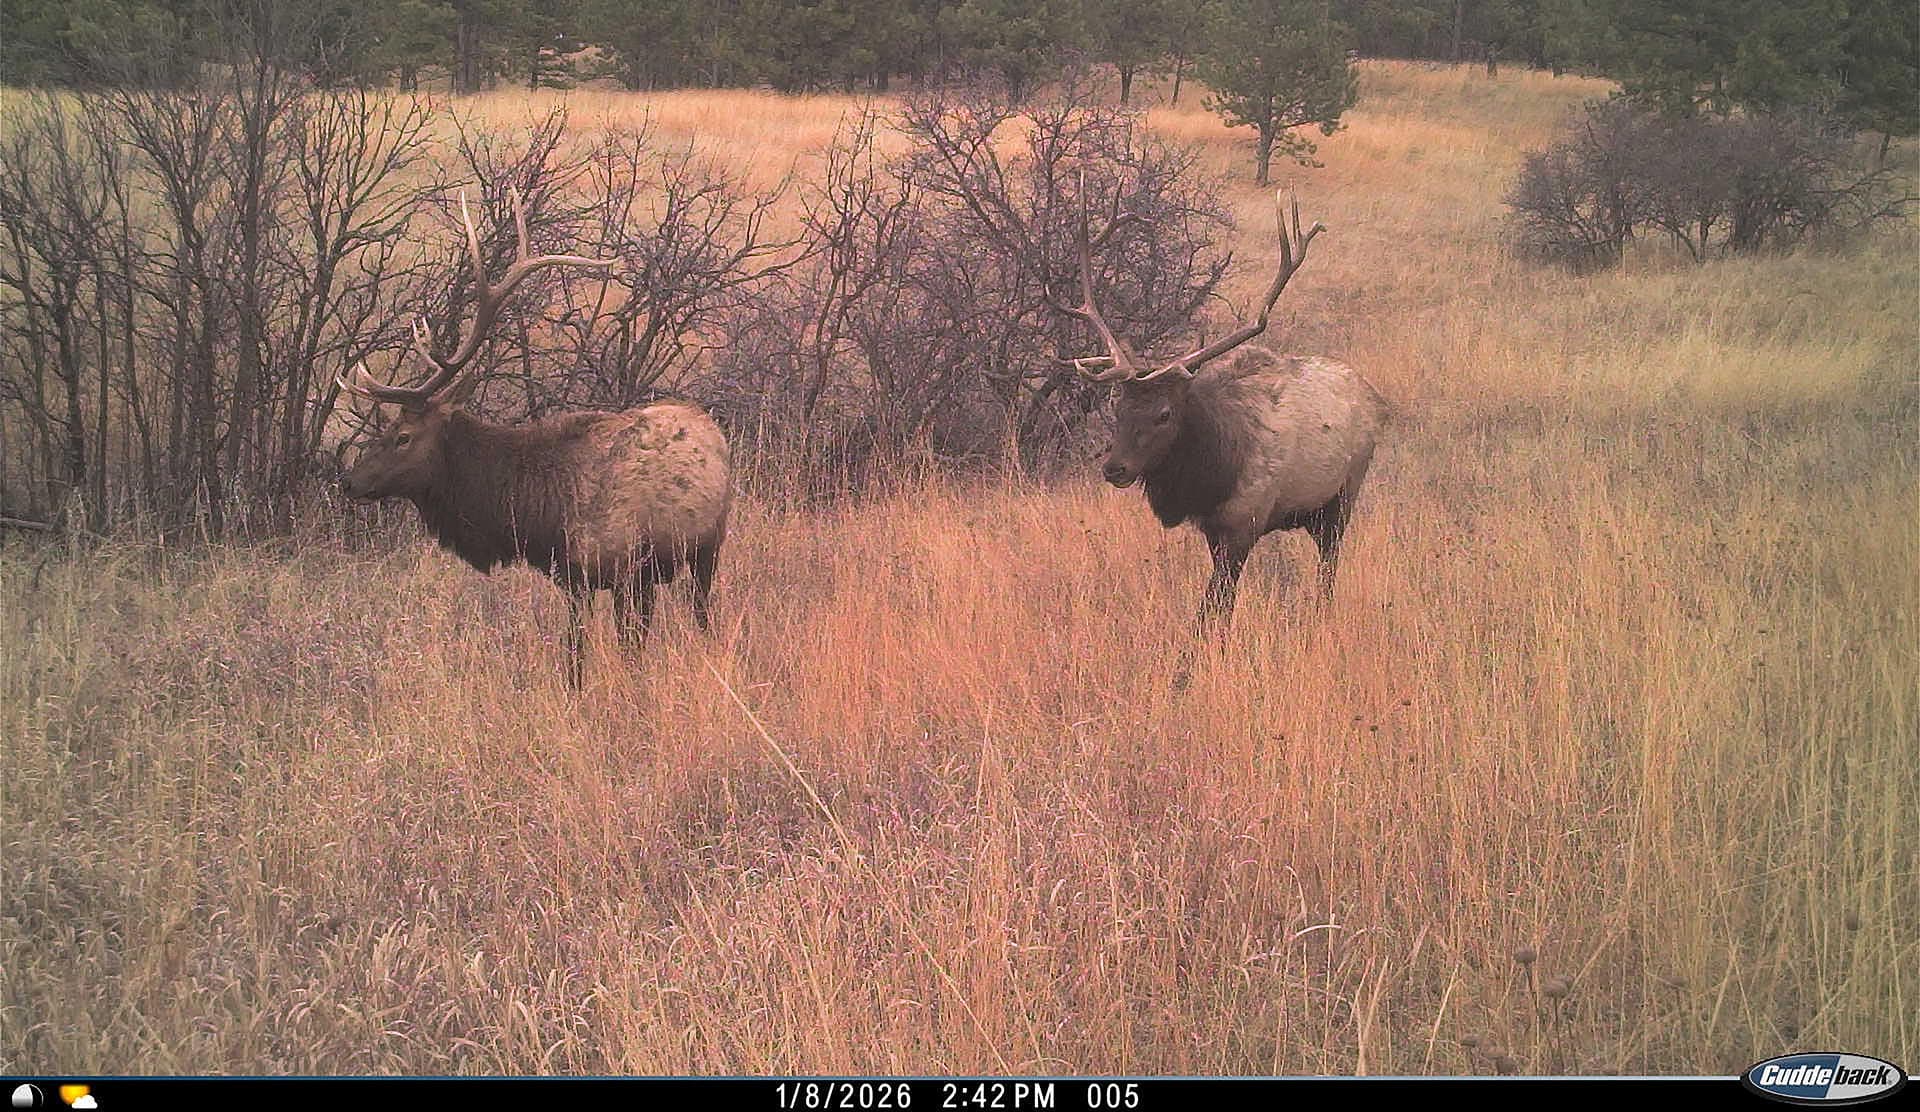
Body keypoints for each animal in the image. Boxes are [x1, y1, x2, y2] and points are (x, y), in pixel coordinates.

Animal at [337, 187, 733, 689]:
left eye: (402, 436)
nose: (349, 480)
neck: (538, 510)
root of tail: (711, 427)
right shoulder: (580, 578)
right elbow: (587, 651)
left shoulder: (613, 571)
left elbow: (598, 653)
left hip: (707, 549)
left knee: (701, 616)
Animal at [1048, 173, 1387, 652]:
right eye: (1118, 406)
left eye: (1164, 413)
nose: (1115, 468)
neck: (1210, 476)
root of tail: (1375, 399)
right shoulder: (1213, 530)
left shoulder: (1244, 524)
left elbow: (1214, 607)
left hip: (1344, 493)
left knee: (1329, 567)